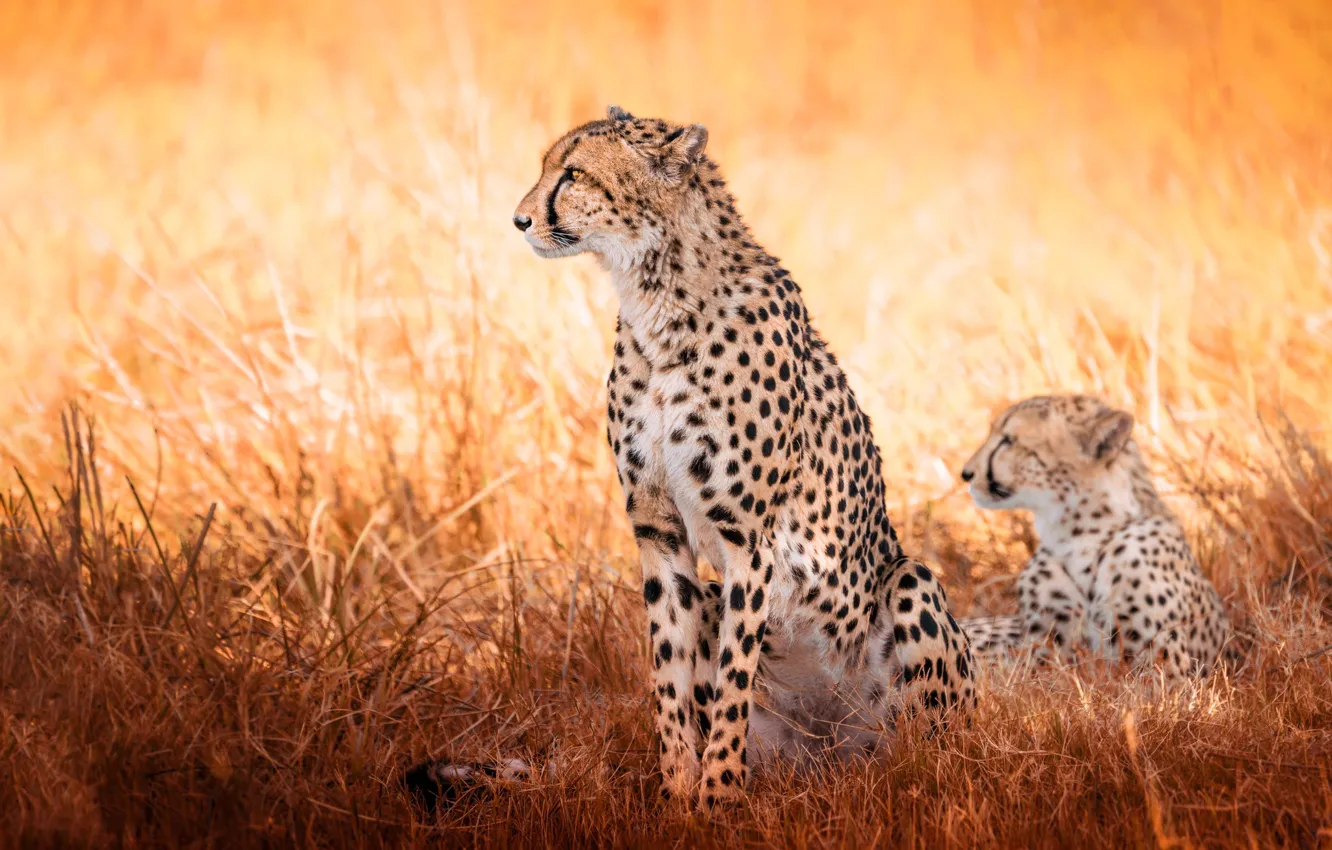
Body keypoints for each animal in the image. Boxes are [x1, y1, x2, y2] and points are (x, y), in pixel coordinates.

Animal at [406, 106, 976, 815]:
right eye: (548, 168)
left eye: (574, 174)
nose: (519, 220)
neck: (657, 300)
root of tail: (832, 755)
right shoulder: (658, 532)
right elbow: (669, 673)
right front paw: (679, 794)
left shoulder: (748, 542)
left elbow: (731, 684)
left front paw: (717, 798)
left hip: (911, 594)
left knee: (932, 747)